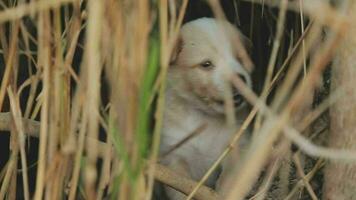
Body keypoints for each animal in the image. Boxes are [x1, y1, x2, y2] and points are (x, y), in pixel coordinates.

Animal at [160, 18, 252, 199]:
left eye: (240, 58)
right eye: (206, 64)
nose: (240, 79)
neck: (206, 117)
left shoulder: (238, 144)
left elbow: (230, 179)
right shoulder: (174, 155)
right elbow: (180, 188)